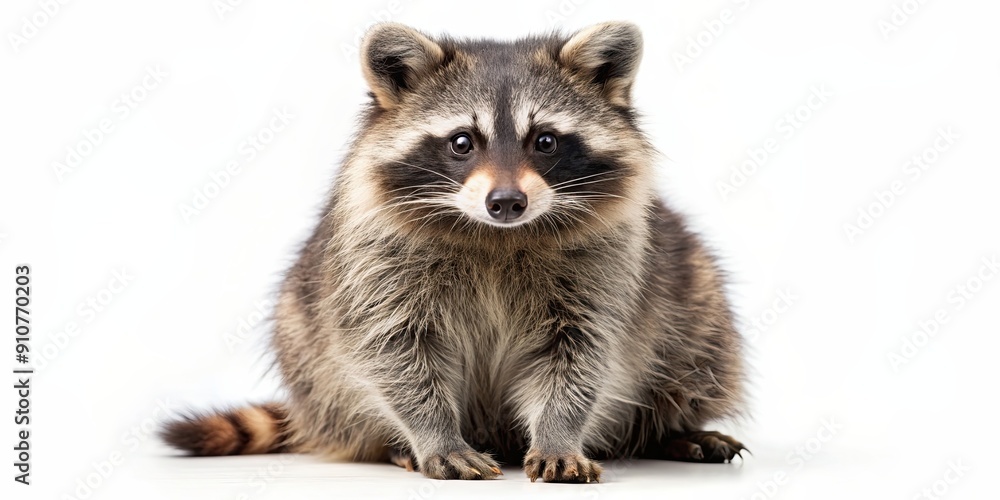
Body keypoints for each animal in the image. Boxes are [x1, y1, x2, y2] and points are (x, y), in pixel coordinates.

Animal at [162, 21, 748, 483]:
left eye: (546, 141)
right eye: (462, 142)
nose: (506, 201)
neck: (498, 235)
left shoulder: (607, 265)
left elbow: (581, 355)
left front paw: (559, 433)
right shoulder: (375, 264)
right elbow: (395, 352)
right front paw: (434, 435)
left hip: (699, 305)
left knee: (699, 360)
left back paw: (674, 430)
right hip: (304, 345)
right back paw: (397, 445)